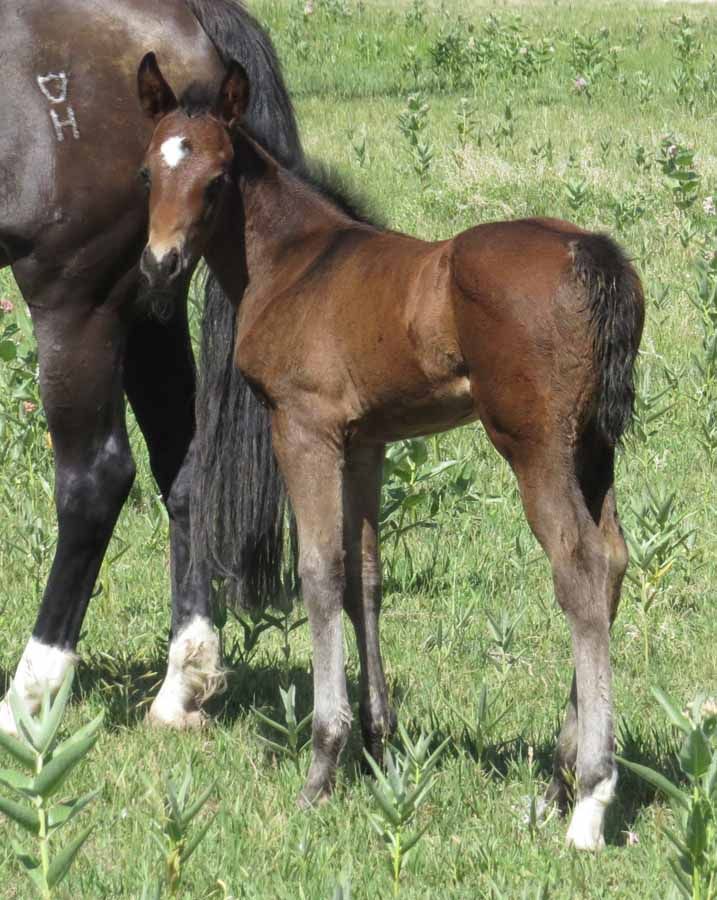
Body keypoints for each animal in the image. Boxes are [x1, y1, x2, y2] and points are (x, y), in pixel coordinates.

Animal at [0, 1, 302, 734]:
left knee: (96, 480)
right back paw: (181, 684)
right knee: (184, 467)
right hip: (148, 302)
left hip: (77, 304)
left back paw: (29, 696)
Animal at [137, 56, 646, 851]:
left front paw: (322, 765)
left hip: (533, 445)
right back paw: (554, 788)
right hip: (595, 447)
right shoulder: (367, 442)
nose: (159, 266)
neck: (296, 262)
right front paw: (377, 747)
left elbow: (319, 574)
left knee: (580, 568)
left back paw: (589, 800)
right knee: (615, 558)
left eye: (216, 179)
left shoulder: (303, 426)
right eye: (146, 173)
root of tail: (589, 250)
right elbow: (364, 579)